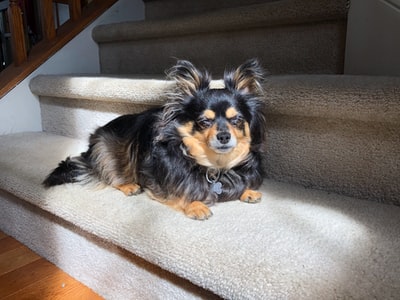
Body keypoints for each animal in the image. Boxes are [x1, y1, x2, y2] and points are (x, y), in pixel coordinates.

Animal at [43, 58, 266, 219]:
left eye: (236, 120)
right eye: (204, 121)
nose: (224, 136)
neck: (213, 165)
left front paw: (247, 191)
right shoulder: (157, 182)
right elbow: (177, 193)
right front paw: (195, 205)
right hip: (106, 149)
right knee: (109, 174)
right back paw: (128, 185)